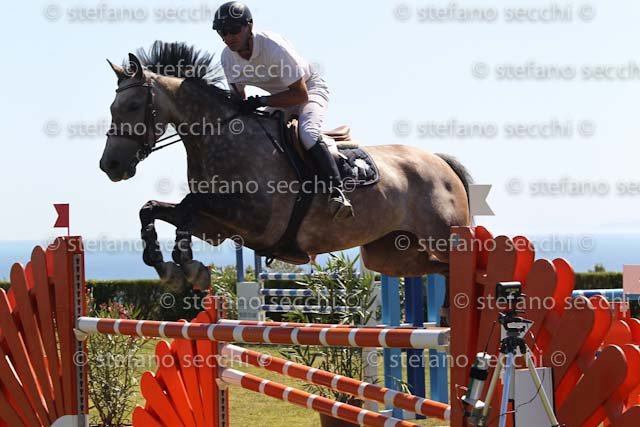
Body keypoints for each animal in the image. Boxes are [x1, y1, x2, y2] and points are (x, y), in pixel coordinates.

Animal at [99, 41, 472, 303]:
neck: (218, 135)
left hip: (443, 235)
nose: (110, 166)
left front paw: (187, 267)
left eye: (133, 106)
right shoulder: (218, 226)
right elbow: (154, 209)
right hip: (393, 255)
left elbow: (188, 204)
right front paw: (172, 270)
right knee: (439, 269)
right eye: (113, 107)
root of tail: (439, 161)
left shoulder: (257, 219)